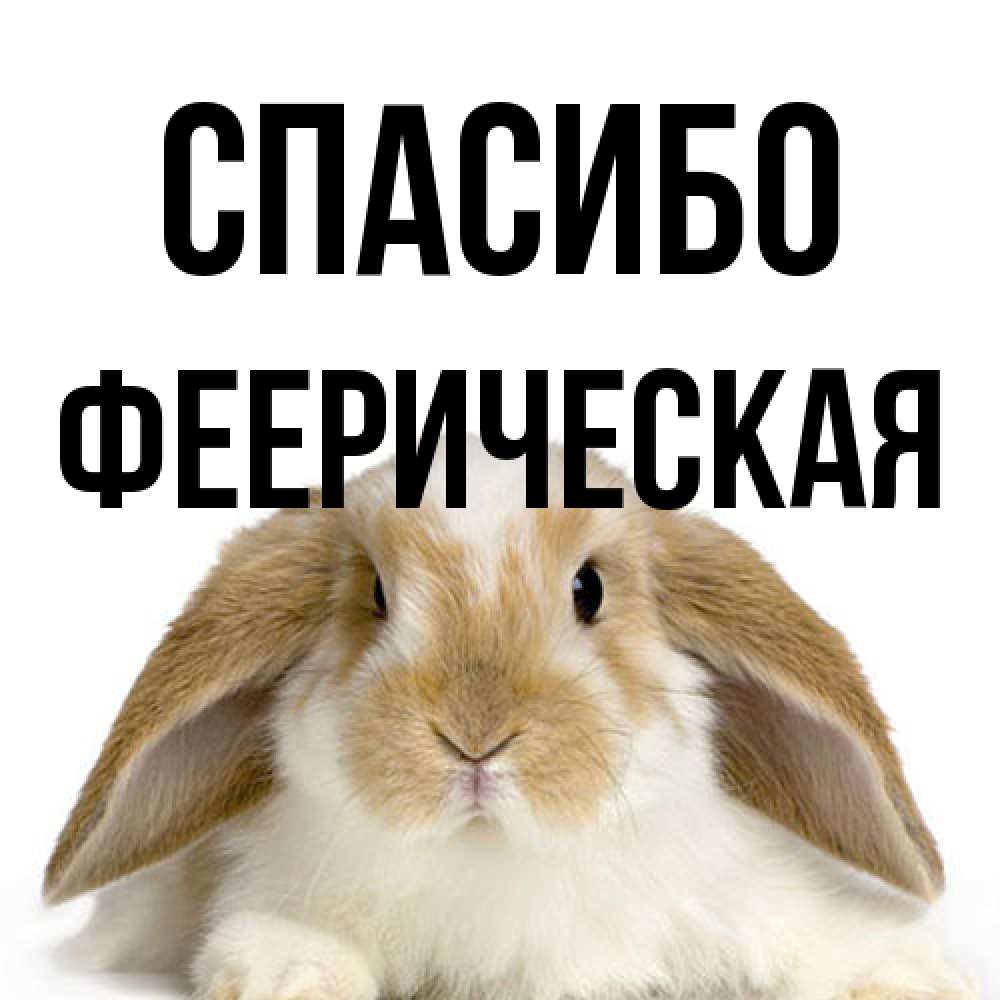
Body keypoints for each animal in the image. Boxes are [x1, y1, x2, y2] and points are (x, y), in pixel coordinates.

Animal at [45, 437, 975, 1000]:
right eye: (376, 596)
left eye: (589, 589)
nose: (475, 737)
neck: (495, 857)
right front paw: (290, 976)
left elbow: (816, 939)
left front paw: (909, 977)